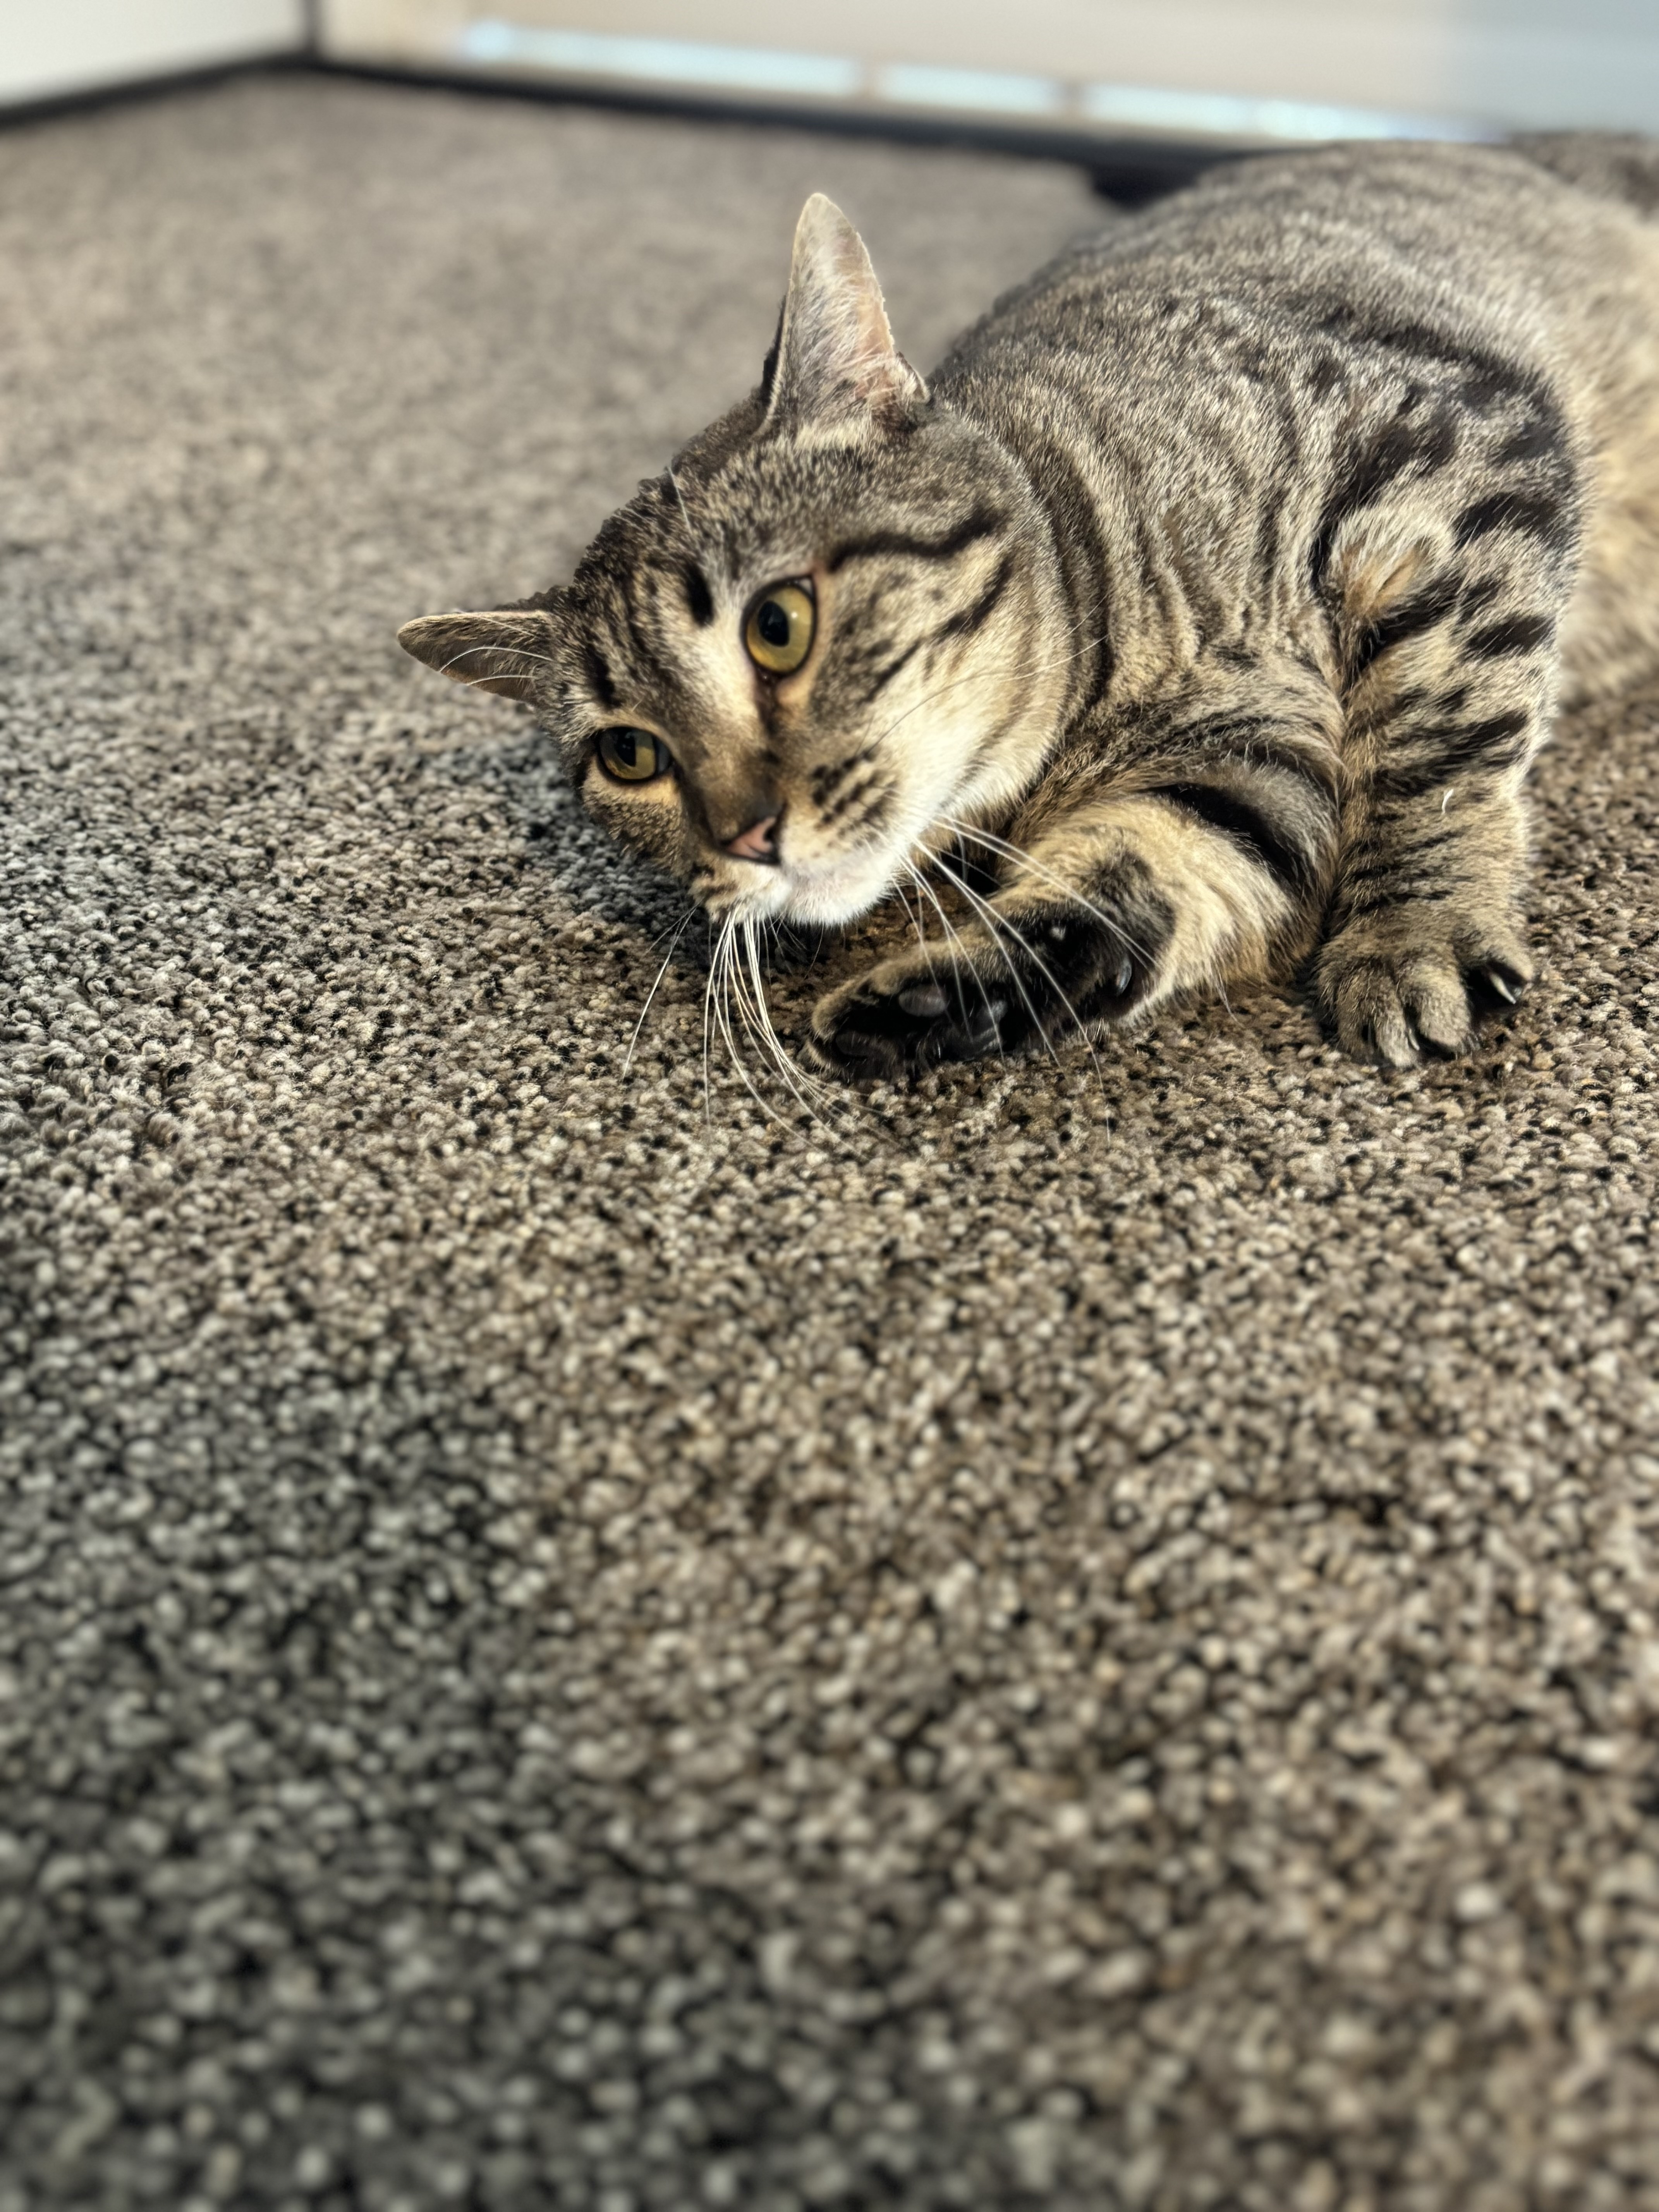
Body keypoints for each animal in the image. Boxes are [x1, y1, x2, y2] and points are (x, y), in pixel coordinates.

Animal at [396, 134, 1659, 1075]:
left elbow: (1436, 747)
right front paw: (954, 997)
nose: (743, 834)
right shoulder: (1245, 764)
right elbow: (1140, 883)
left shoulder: (1445, 457)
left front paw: (1413, 925)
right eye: (629, 756)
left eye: (778, 625)